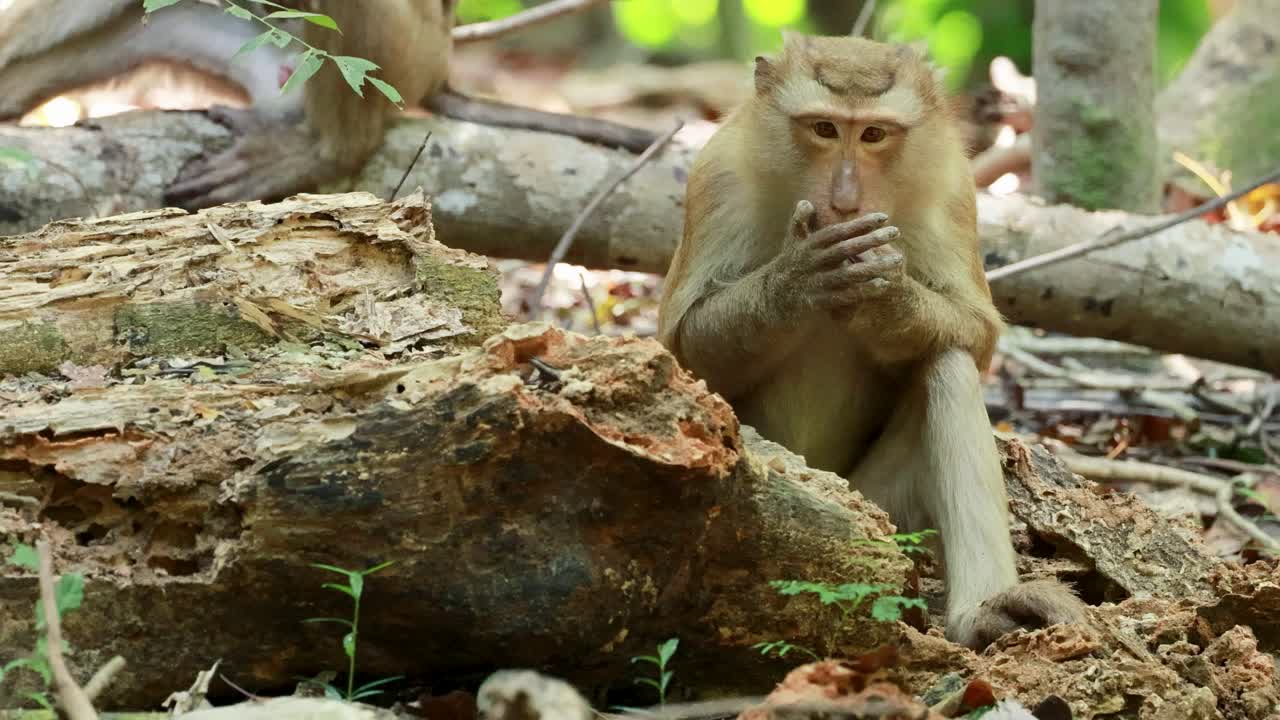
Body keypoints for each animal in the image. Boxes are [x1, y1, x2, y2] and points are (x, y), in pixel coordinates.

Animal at [657, 33, 1087, 650]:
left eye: (874, 135)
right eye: (824, 129)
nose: (844, 199)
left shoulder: (952, 188)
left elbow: (976, 335)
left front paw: (887, 298)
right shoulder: (717, 178)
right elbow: (683, 345)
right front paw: (799, 278)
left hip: (886, 511)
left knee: (946, 362)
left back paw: (981, 612)